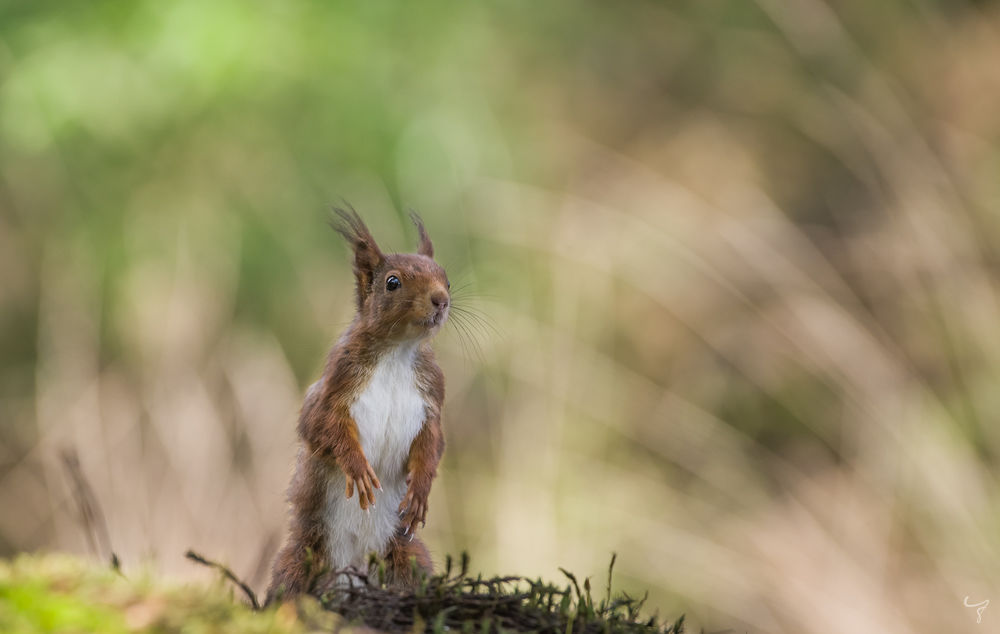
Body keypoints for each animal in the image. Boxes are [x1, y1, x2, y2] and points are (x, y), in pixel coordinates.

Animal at [266, 208, 449, 602]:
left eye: (444, 276)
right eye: (392, 282)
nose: (441, 300)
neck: (397, 352)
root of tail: (352, 573)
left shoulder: (432, 397)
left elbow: (433, 443)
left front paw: (420, 488)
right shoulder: (335, 384)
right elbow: (319, 427)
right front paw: (357, 466)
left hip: (407, 554)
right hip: (302, 556)